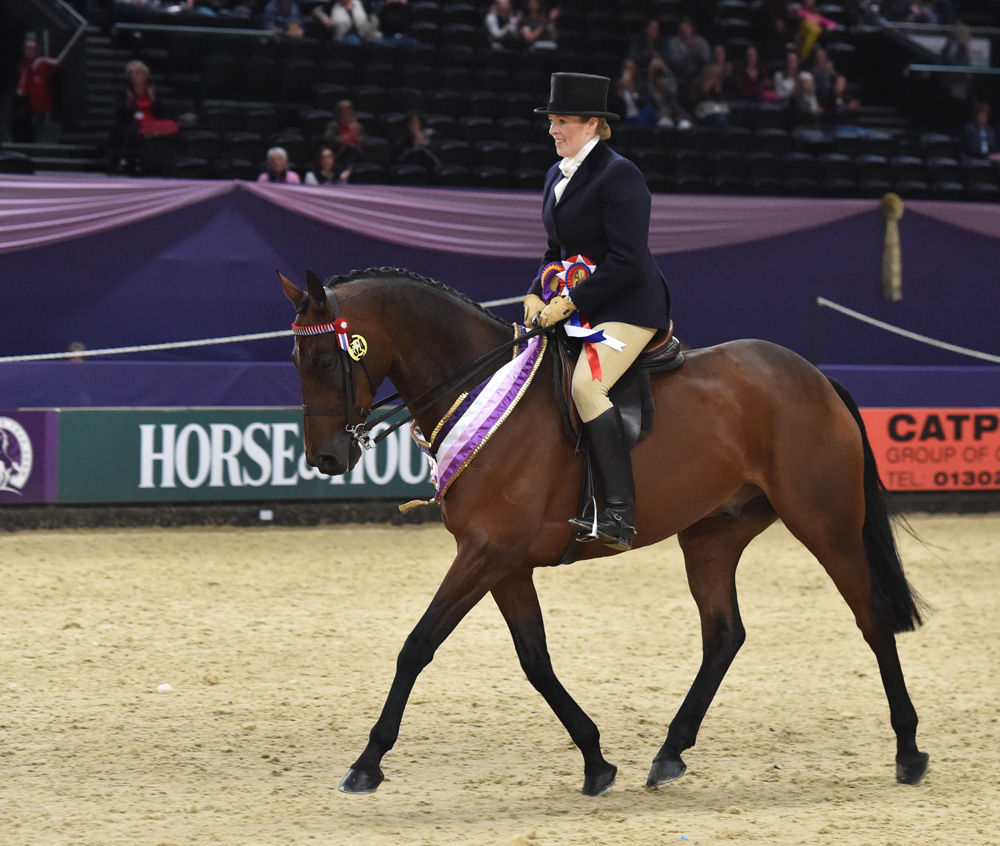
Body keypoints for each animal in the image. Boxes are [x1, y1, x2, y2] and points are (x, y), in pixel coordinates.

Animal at [279, 266, 929, 797]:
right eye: (293, 362)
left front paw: (367, 763)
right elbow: (535, 660)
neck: (481, 389)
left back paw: (909, 749)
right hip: (712, 535)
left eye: (325, 360)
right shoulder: (504, 563)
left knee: (871, 616)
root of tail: (813, 376)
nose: (326, 459)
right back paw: (670, 752)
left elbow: (417, 645)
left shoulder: (487, 553)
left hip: (825, 521)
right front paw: (595, 760)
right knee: (724, 634)